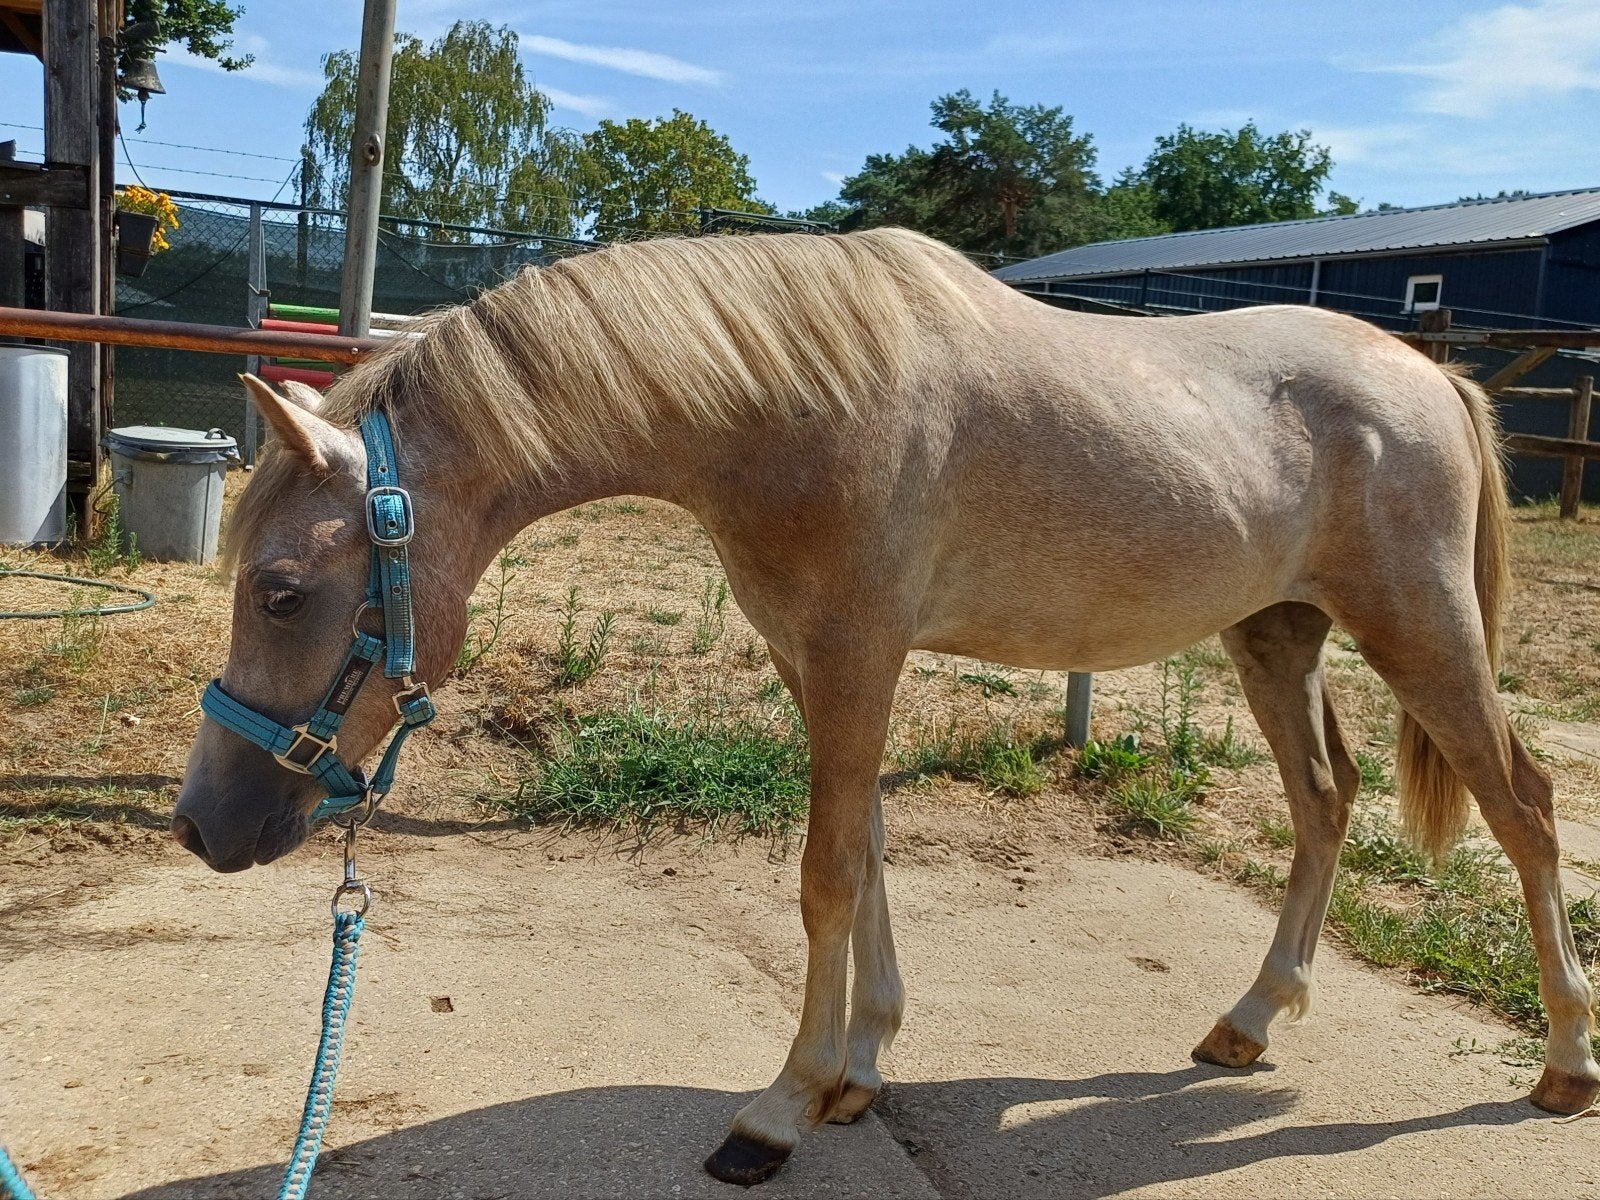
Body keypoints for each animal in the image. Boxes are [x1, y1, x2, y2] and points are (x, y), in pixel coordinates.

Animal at [171, 226, 1598, 1185]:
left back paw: (1565, 1063)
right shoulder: (820, 660)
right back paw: (1249, 1022)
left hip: (1421, 634)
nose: (200, 826)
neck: (791, 394)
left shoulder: (860, 653)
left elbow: (822, 874)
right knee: (1323, 799)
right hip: (1276, 636)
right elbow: (862, 852)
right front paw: (859, 1070)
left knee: (1524, 808)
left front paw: (781, 1106)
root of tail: (1428, 376)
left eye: (283, 591)